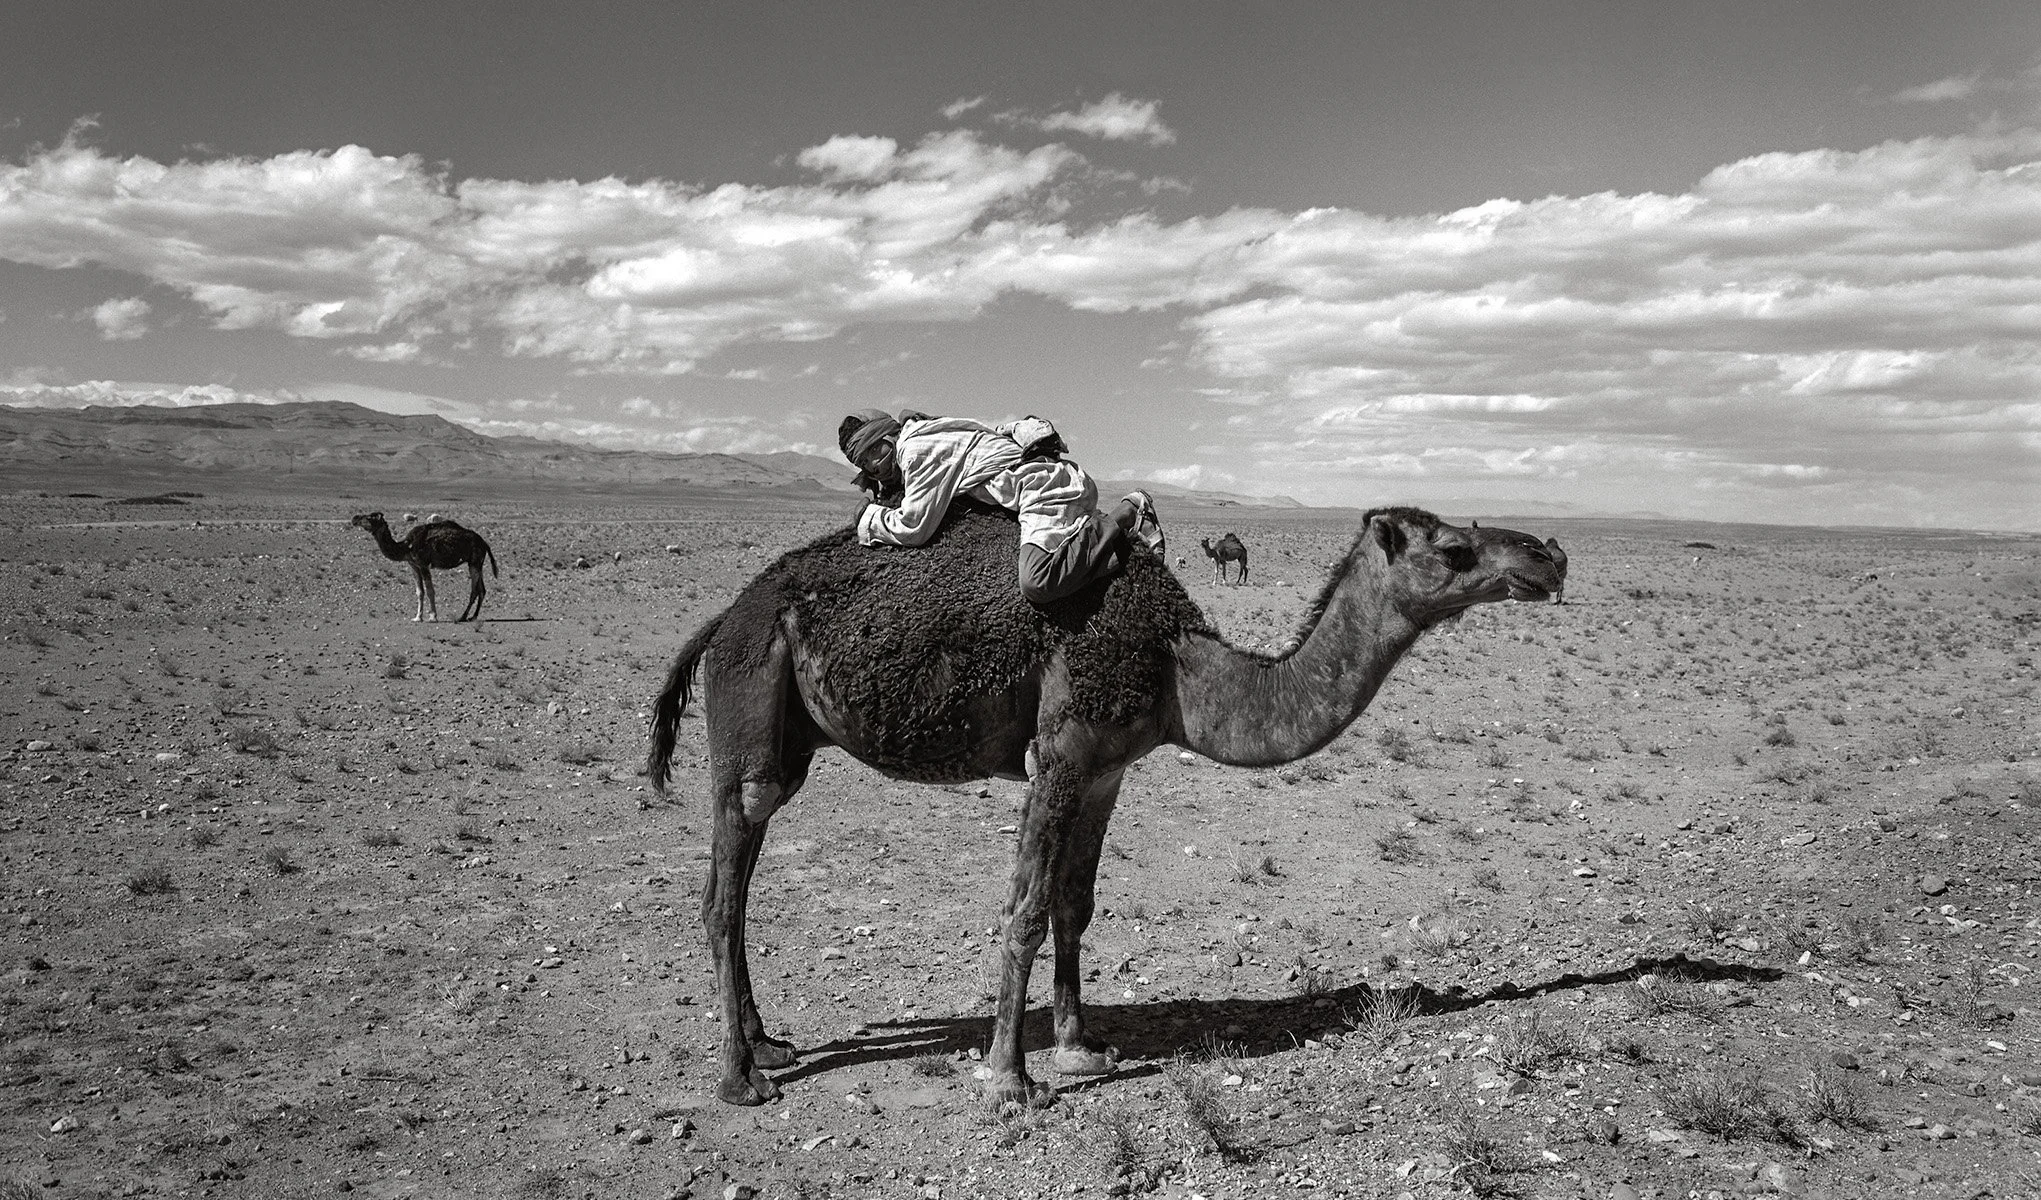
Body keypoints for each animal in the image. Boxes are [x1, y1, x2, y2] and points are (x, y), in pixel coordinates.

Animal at [350, 511, 498, 622]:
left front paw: (433, 617)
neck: (406, 546)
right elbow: (419, 592)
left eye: (369, 517)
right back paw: (474, 616)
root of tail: (484, 542)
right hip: (477, 563)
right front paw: (417, 617)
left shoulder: (423, 564)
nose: (354, 518)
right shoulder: (413, 565)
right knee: (482, 589)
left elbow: (430, 590)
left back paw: (463, 616)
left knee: (474, 590)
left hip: (475, 562)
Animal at [647, 501, 1563, 1108]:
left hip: (789, 742)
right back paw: (739, 1078)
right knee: (723, 891)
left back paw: (769, 1043)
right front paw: (1009, 1081)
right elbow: (1022, 909)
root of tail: (724, 616)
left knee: (735, 889)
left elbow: (1073, 906)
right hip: (749, 716)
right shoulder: (1058, 756)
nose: (1548, 553)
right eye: (1454, 548)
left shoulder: (1106, 769)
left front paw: (1079, 1047)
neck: (1176, 668)